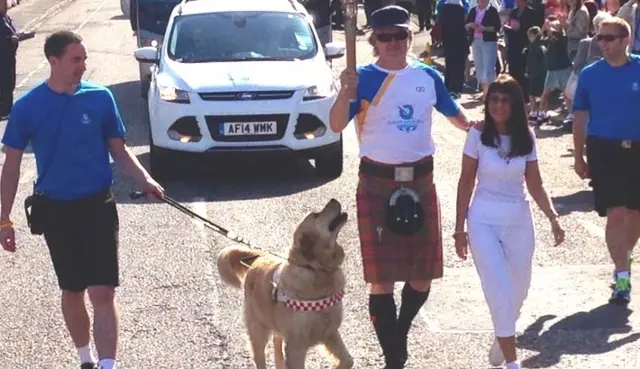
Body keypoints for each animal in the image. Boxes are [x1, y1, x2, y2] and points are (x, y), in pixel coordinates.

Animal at [218, 198, 352, 368]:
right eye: (316, 215)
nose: (334, 200)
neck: (316, 270)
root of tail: (260, 257)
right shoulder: (296, 346)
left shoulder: (330, 332)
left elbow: (348, 360)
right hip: (258, 329)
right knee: (259, 355)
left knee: (277, 343)